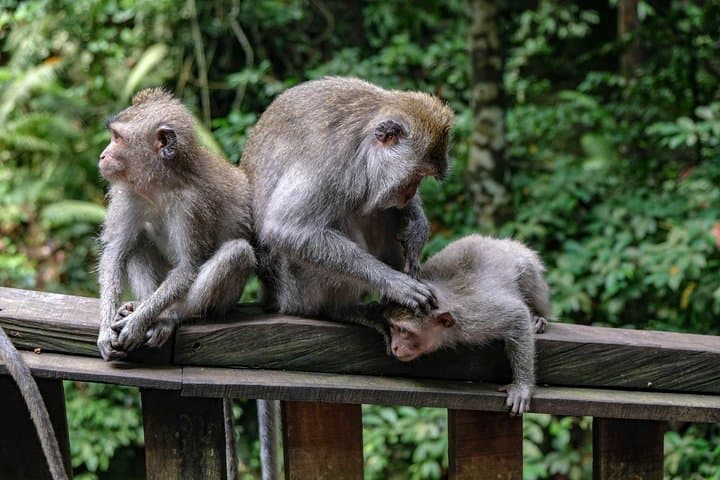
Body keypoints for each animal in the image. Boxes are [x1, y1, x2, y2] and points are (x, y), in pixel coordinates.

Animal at [96, 87, 256, 361]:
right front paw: (106, 329)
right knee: (138, 242)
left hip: (227, 301)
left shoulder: (192, 205)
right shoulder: (128, 193)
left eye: (117, 138)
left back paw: (168, 316)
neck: (160, 184)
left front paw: (137, 324)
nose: (102, 155)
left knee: (238, 252)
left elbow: (188, 267)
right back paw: (142, 304)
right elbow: (116, 253)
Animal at [383, 234, 550, 415]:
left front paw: (522, 387)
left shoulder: (474, 317)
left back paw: (539, 317)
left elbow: (517, 315)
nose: (394, 347)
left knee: (526, 270)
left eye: (403, 330)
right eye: (392, 327)